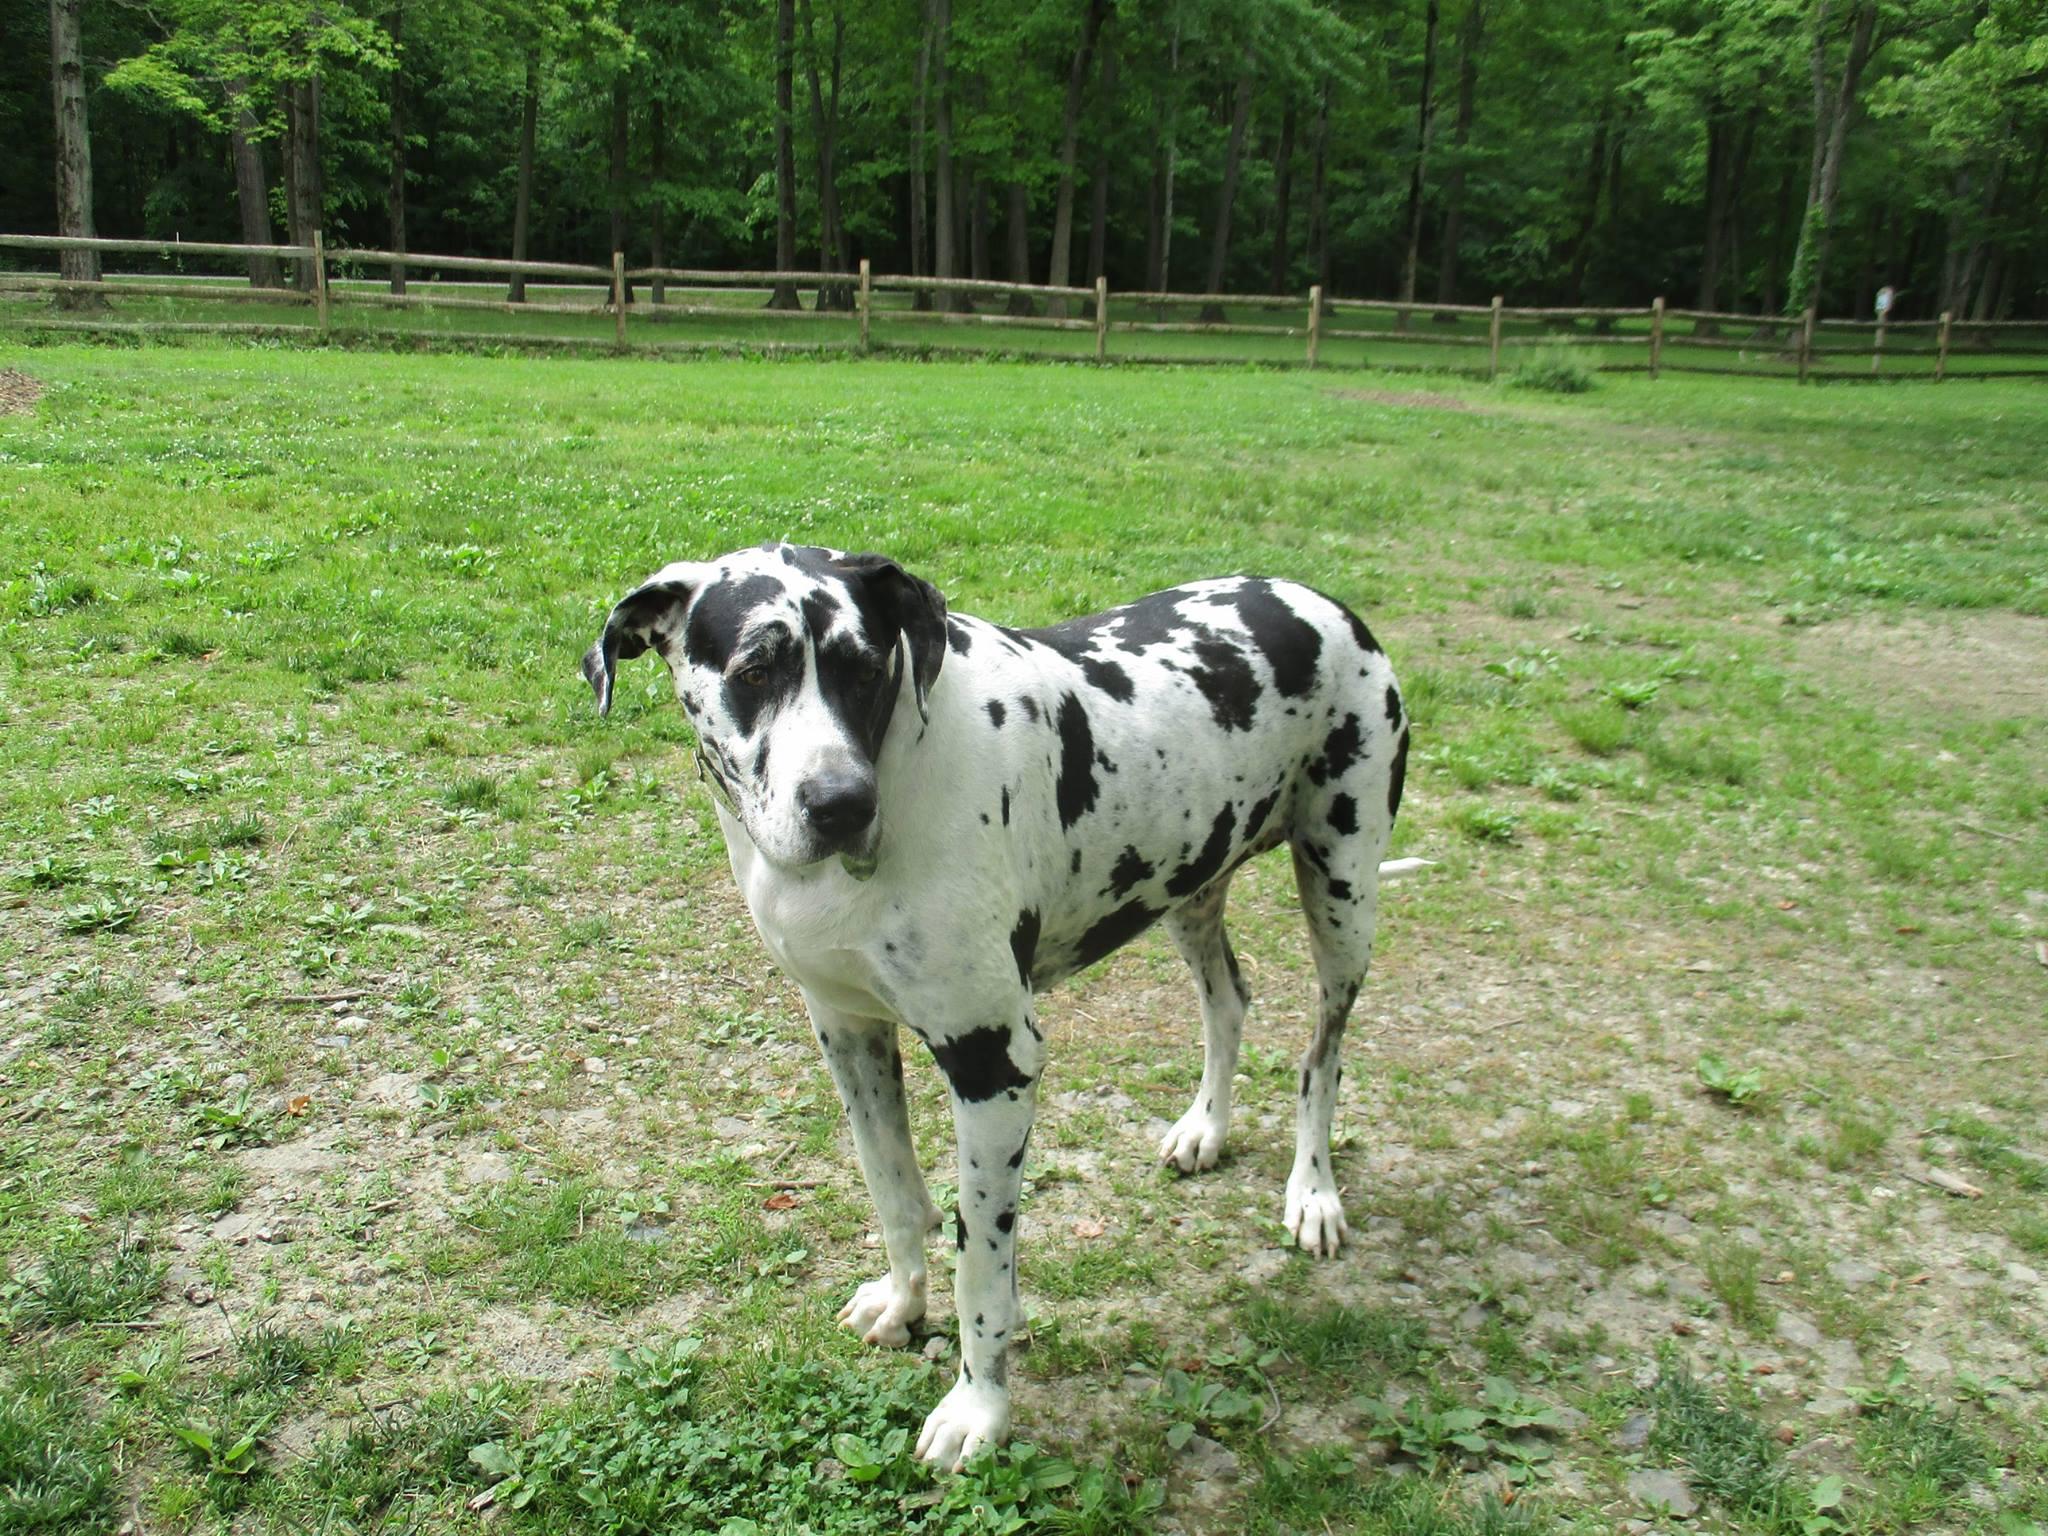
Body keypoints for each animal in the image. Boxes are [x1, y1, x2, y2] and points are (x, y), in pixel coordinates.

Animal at [585, 548, 1400, 1474]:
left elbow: (981, 1261)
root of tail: (1320, 599)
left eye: (866, 667)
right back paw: (1206, 1127)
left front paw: (979, 1408)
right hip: (1193, 889)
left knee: (1321, 1058)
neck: (901, 768)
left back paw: (1314, 1192)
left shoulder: (993, 1065)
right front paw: (903, 1302)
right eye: (754, 671)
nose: (841, 805)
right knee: (1228, 1003)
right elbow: (895, 1194)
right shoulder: (847, 1032)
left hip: (1343, 898)